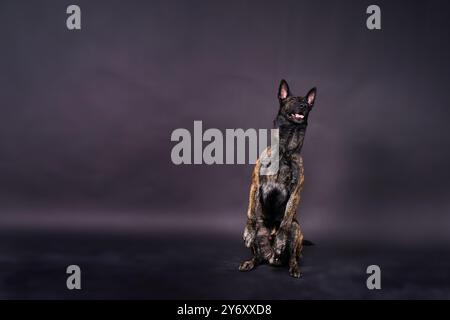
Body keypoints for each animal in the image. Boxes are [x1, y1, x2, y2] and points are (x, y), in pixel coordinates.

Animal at [239, 79, 316, 278]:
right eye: (293, 100)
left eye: (306, 102)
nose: (304, 106)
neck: (285, 150)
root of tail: (272, 258)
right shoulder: (255, 184)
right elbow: (250, 211)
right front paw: (248, 232)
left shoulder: (296, 191)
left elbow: (286, 218)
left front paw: (281, 240)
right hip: (260, 233)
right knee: (258, 256)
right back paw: (250, 262)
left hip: (296, 230)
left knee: (293, 255)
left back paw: (293, 265)